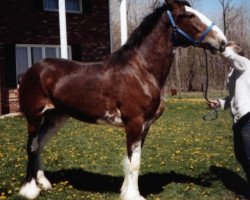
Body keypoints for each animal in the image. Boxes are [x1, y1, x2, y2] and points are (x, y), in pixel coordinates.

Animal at [19, 0, 227, 199]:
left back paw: (44, 183)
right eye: (190, 16)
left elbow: (131, 161)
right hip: (34, 117)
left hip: (57, 116)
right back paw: (30, 189)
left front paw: (126, 191)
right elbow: (134, 163)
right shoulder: (134, 123)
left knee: (40, 144)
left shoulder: (145, 126)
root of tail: (33, 69)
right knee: (32, 146)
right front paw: (134, 195)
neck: (142, 70)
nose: (222, 42)